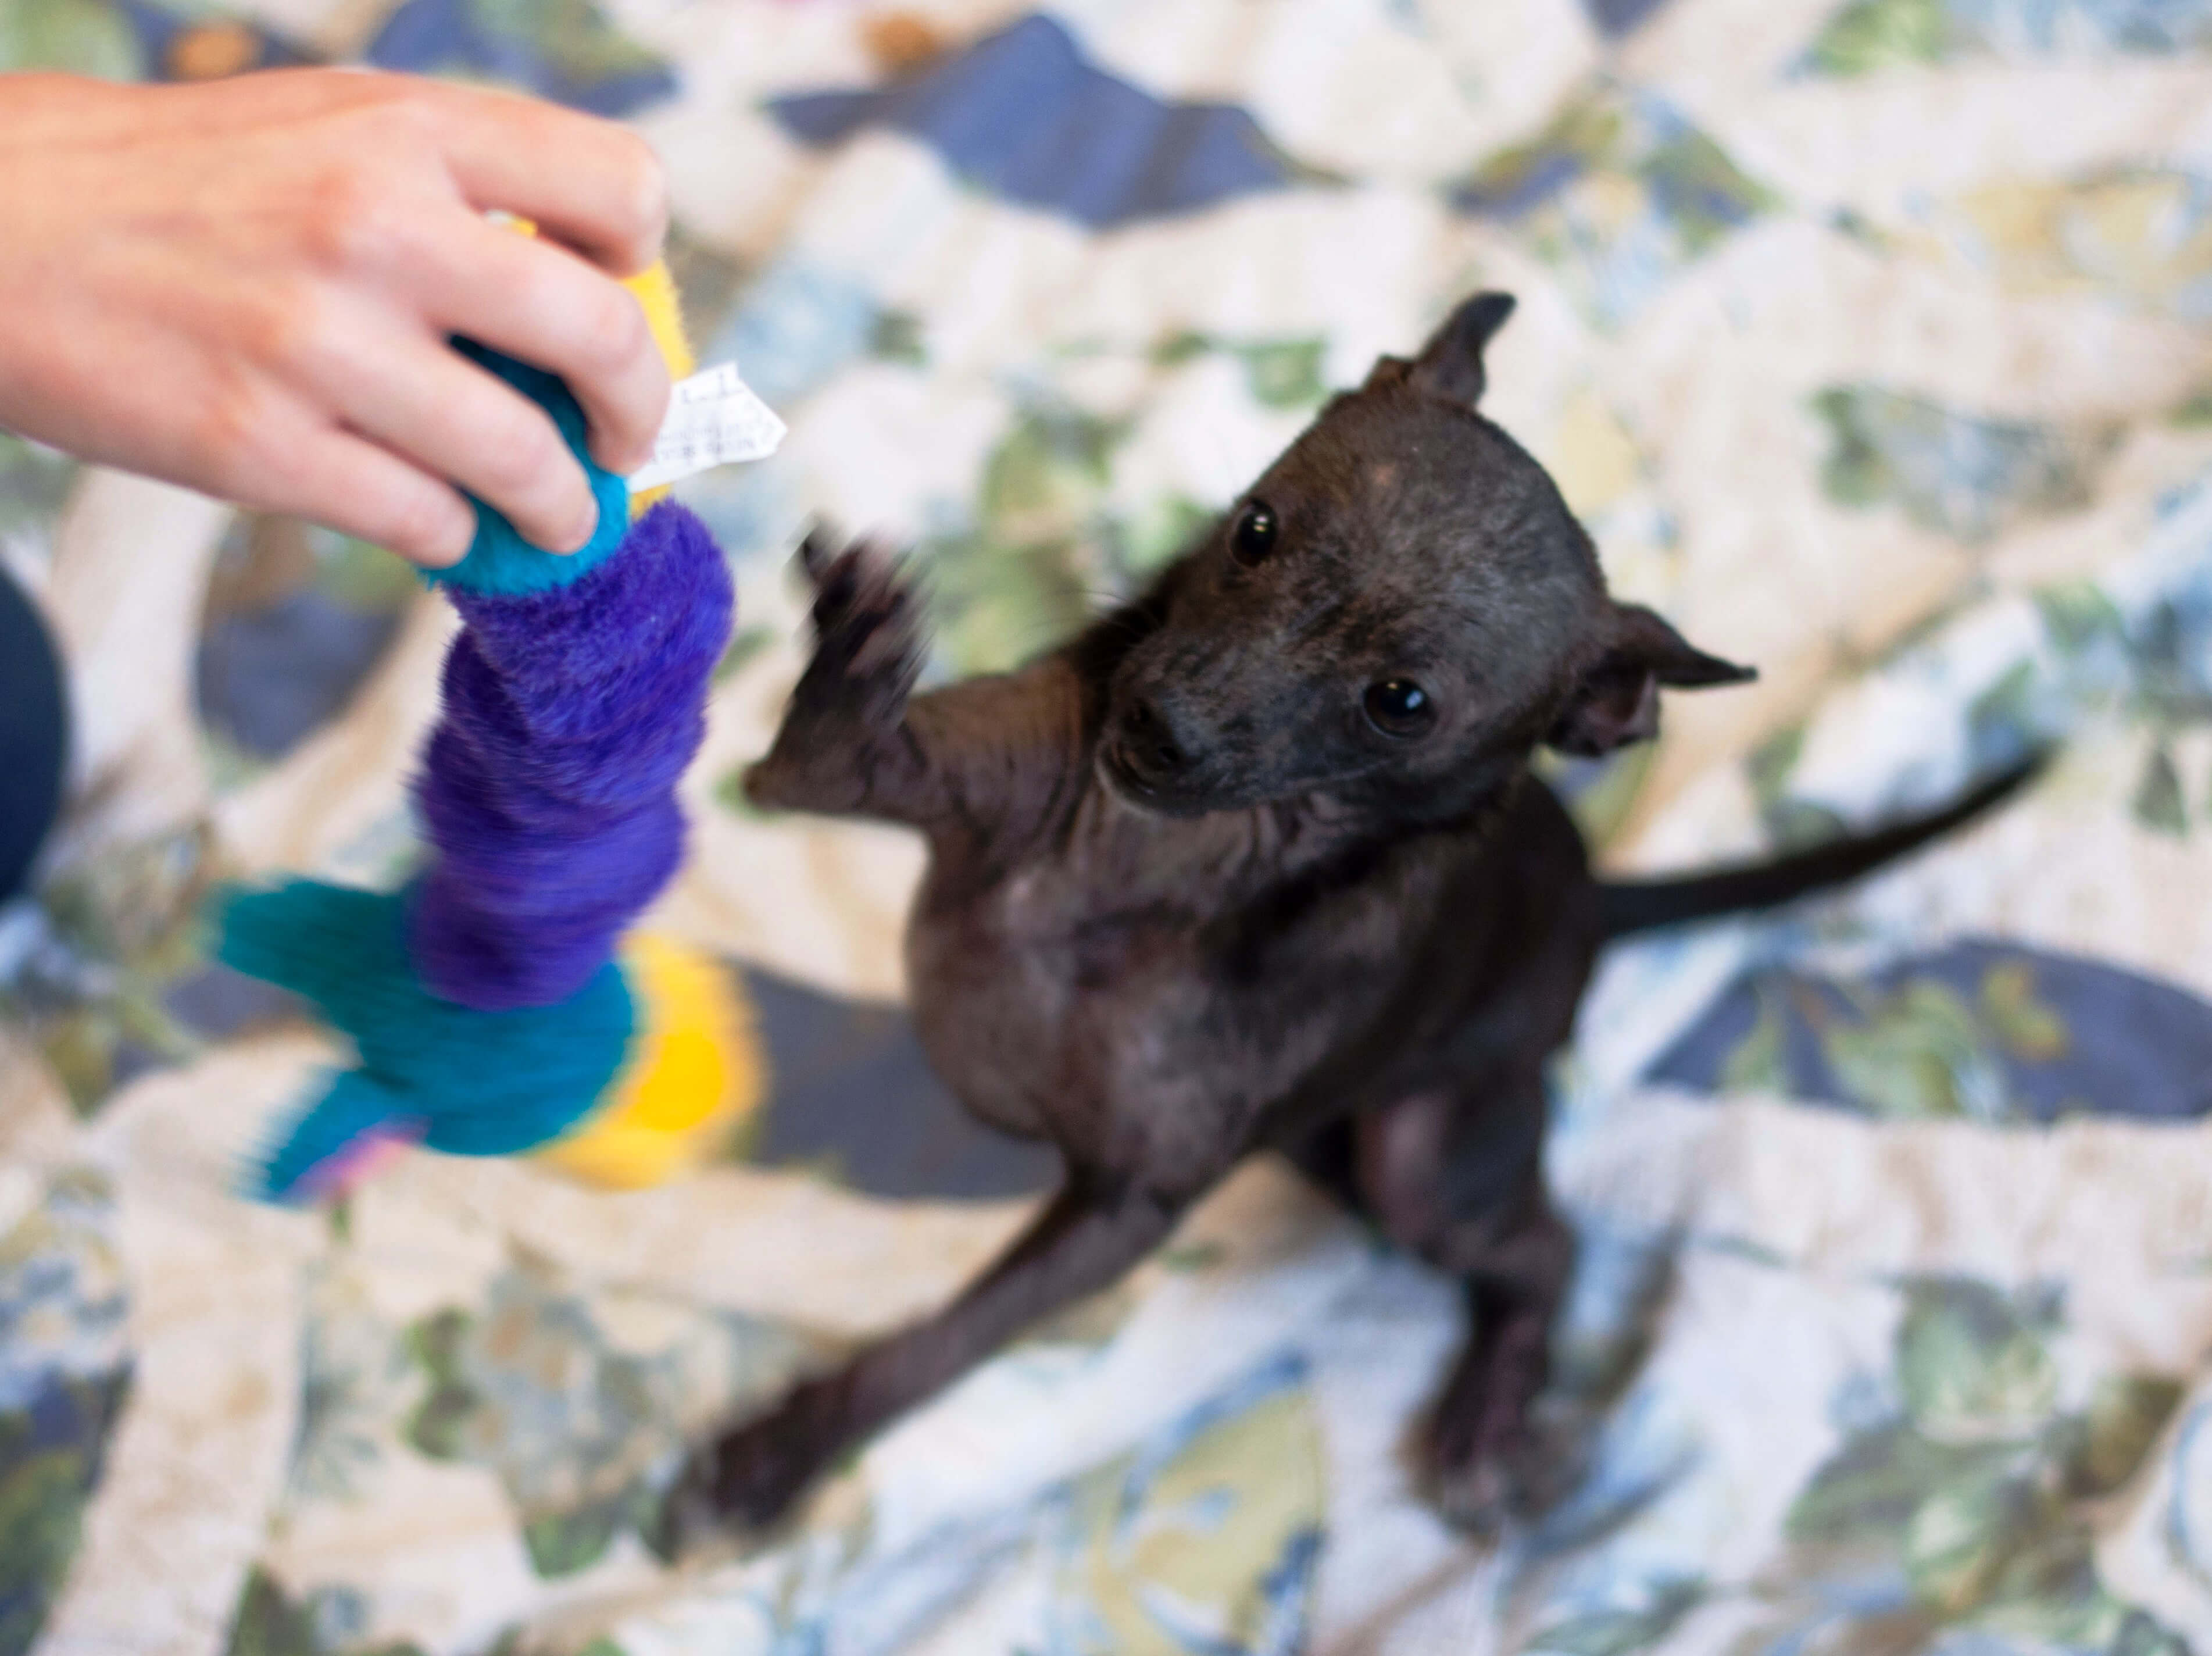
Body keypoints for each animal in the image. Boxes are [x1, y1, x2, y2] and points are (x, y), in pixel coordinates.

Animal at [681, 287, 2026, 1541]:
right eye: (1254, 530)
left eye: (1401, 700)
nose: (1157, 725)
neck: (1170, 861)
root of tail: (1593, 896)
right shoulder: (862, 782)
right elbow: (813, 762)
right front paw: (857, 650)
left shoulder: (1124, 1204)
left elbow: (947, 1343)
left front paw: (789, 1448)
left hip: (1419, 1157)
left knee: (1543, 1246)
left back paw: (1489, 1411)